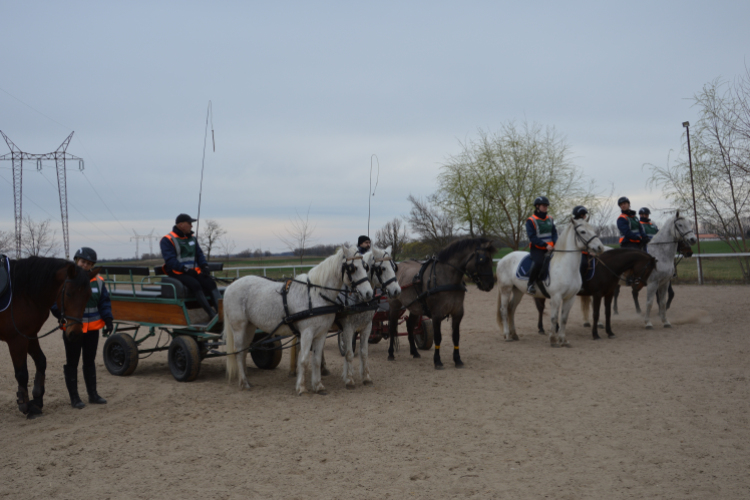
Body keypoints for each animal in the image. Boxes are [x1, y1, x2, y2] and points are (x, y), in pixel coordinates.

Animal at [0, 256, 95, 416]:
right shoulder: (17, 340)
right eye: (68, 294)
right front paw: (25, 406)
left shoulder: (29, 334)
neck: (23, 293)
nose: (75, 333)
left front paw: (37, 400)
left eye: (88, 296)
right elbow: (22, 373)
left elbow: (41, 362)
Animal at [225, 246, 374, 394]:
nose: (369, 293)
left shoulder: (322, 333)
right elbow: (304, 359)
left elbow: (316, 359)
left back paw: (246, 379)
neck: (316, 295)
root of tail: (230, 286)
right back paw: (244, 382)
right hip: (239, 328)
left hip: (249, 328)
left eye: (365, 266)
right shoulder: (308, 332)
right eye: (353, 268)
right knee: (239, 352)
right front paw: (301, 387)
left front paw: (318, 385)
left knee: (244, 351)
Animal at [338, 244, 402, 388]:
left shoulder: (366, 326)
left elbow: (364, 352)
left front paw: (366, 377)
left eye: (394, 266)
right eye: (382, 268)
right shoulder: (348, 327)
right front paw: (349, 379)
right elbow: (349, 353)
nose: (397, 291)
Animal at [496, 220, 608, 348]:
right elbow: (554, 318)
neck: (566, 266)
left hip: (518, 291)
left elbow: (564, 318)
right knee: (504, 309)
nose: (600, 247)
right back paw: (507, 335)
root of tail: (502, 259)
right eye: (583, 231)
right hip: (506, 289)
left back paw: (514, 334)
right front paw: (553, 340)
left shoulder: (570, 298)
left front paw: (563, 340)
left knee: (512, 309)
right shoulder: (556, 297)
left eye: (593, 230)